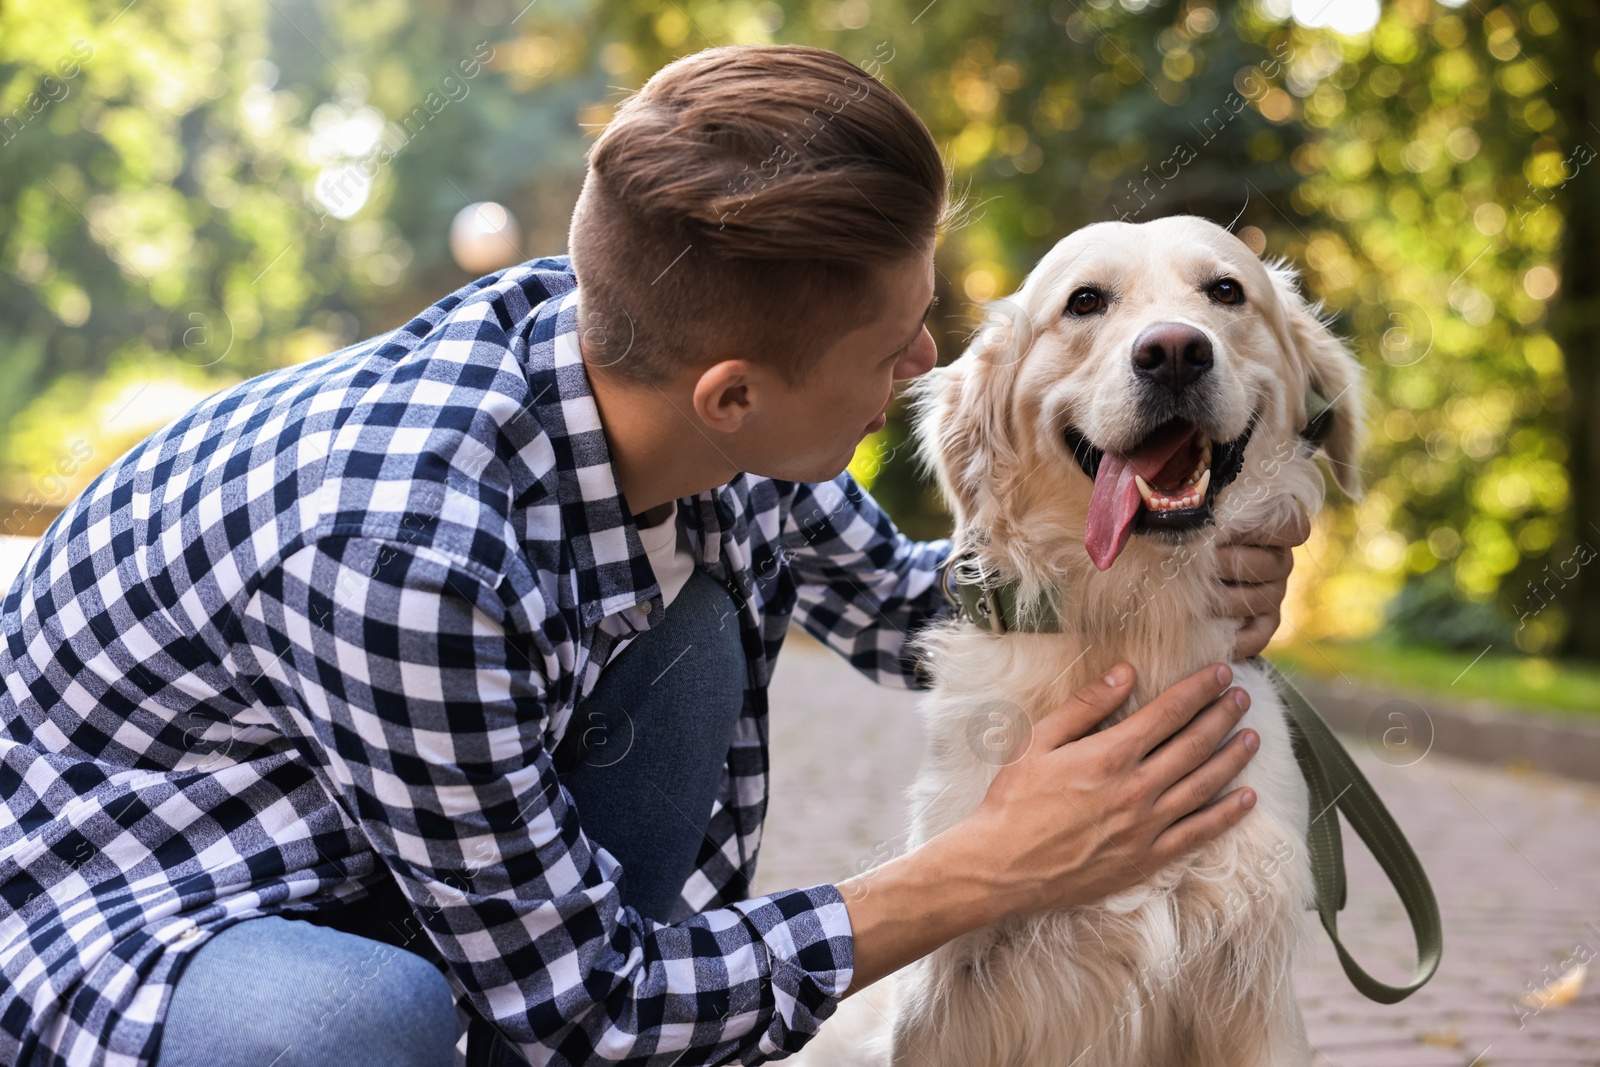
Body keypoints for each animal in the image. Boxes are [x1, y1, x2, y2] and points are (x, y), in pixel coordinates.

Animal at [796, 214, 1363, 1067]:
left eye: (1227, 291)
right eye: (1085, 301)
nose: (1174, 351)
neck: (1134, 611)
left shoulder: (1252, 980)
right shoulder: (946, 999)